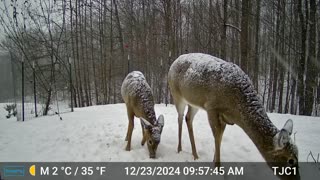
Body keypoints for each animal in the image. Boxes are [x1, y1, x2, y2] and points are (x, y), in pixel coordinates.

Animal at [169, 53, 298, 174]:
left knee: (188, 118)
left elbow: (220, 136)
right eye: (290, 160)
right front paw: (218, 168)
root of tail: (174, 62)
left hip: (194, 103)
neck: (235, 110)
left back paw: (195, 155)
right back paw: (179, 149)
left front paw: (214, 163)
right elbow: (217, 136)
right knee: (180, 118)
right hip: (177, 95)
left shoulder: (225, 117)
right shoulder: (212, 108)